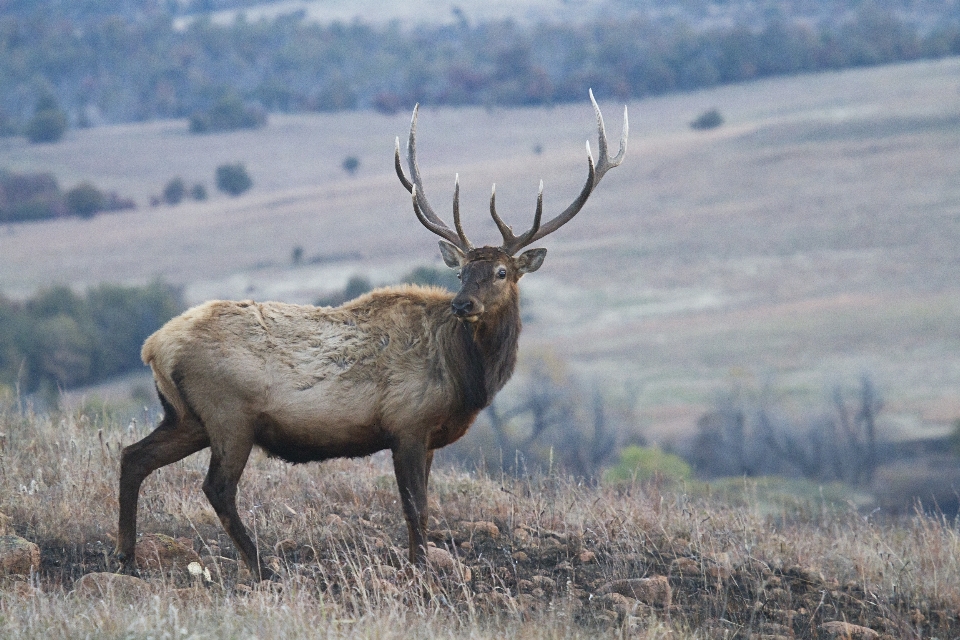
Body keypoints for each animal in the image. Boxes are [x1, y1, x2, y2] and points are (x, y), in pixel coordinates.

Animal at [118, 91, 632, 580]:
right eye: (463, 271)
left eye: (502, 272)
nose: (462, 304)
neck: (466, 376)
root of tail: (154, 347)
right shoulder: (407, 423)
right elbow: (415, 508)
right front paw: (421, 572)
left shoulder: (428, 437)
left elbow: (421, 510)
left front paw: (420, 565)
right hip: (229, 414)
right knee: (217, 488)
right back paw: (263, 568)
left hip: (186, 417)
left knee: (132, 457)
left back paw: (127, 559)